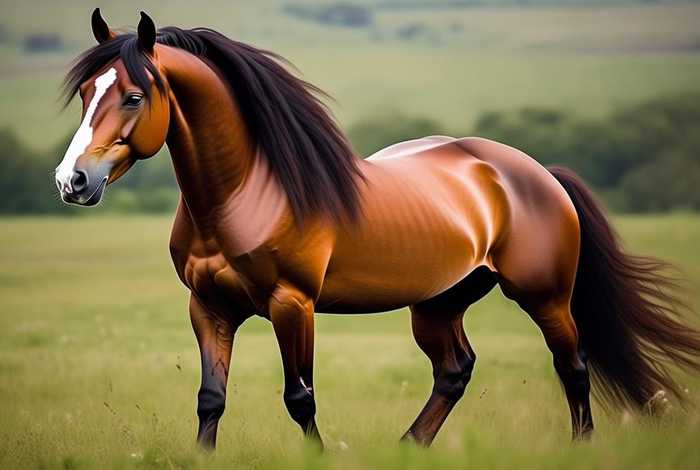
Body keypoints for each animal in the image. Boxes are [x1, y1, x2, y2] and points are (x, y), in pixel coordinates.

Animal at [55, 9, 700, 449]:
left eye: (133, 96)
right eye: (87, 91)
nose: (72, 180)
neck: (245, 194)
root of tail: (537, 172)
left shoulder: (293, 304)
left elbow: (300, 398)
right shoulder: (209, 307)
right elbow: (211, 399)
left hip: (545, 296)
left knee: (573, 366)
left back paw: (579, 446)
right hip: (438, 303)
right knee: (454, 372)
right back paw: (409, 447)